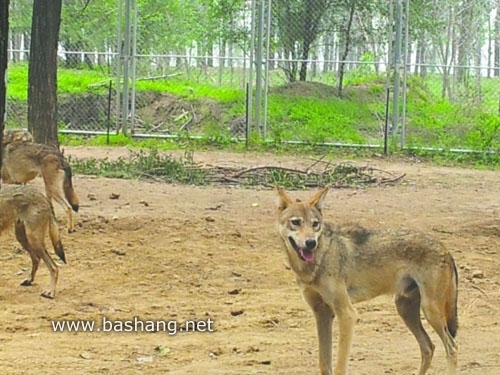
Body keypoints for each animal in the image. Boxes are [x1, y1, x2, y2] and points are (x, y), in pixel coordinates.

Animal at [276, 188, 458, 375]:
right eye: (296, 222)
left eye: (315, 224)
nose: (311, 242)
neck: (320, 258)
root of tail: (445, 249)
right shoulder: (322, 314)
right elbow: (324, 365)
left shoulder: (347, 314)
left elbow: (340, 367)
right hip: (405, 309)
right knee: (429, 347)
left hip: (430, 311)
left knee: (451, 348)